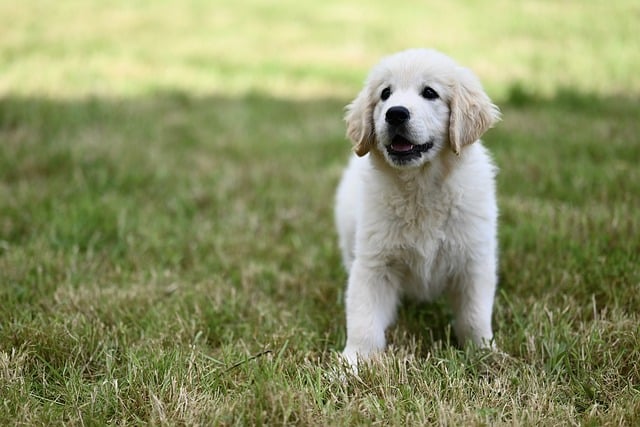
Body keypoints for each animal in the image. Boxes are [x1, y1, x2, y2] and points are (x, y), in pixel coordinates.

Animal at [332, 47, 502, 372]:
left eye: (429, 93)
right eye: (385, 93)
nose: (395, 113)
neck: (420, 187)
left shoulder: (473, 259)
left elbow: (474, 315)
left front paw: (484, 353)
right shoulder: (374, 262)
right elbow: (363, 317)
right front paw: (353, 363)